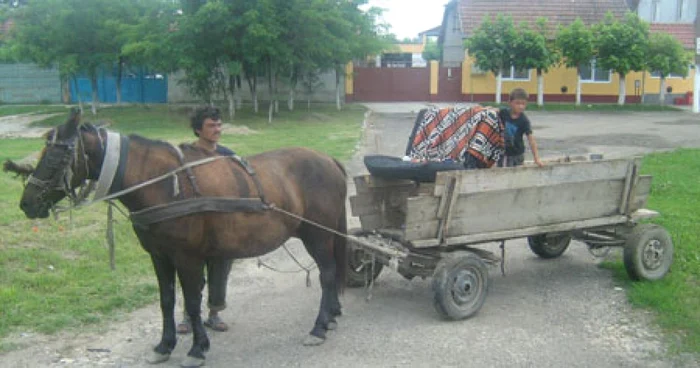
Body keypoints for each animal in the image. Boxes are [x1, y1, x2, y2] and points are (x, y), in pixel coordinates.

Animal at [19, 108, 350, 366]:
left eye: (56, 156)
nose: (27, 203)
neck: (163, 183)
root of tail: (329, 159)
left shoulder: (187, 257)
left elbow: (192, 301)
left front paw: (197, 349)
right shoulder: (159, 255)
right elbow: (167, 300)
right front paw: (164, 346)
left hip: (318, 234)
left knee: (327, 272)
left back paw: (319, 327)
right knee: (332, 271)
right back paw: (332, 314)